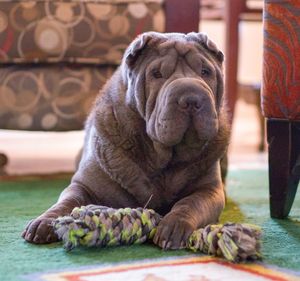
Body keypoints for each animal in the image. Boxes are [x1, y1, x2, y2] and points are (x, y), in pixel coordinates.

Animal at [22, 31, 230, 248]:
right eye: (156, 74)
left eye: (206, 71)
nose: (191, 98)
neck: (162, 157)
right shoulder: (83, 184)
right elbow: (67, 201)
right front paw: (45, 221)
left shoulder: (209, 190)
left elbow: (190, 203)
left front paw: (174, 226)